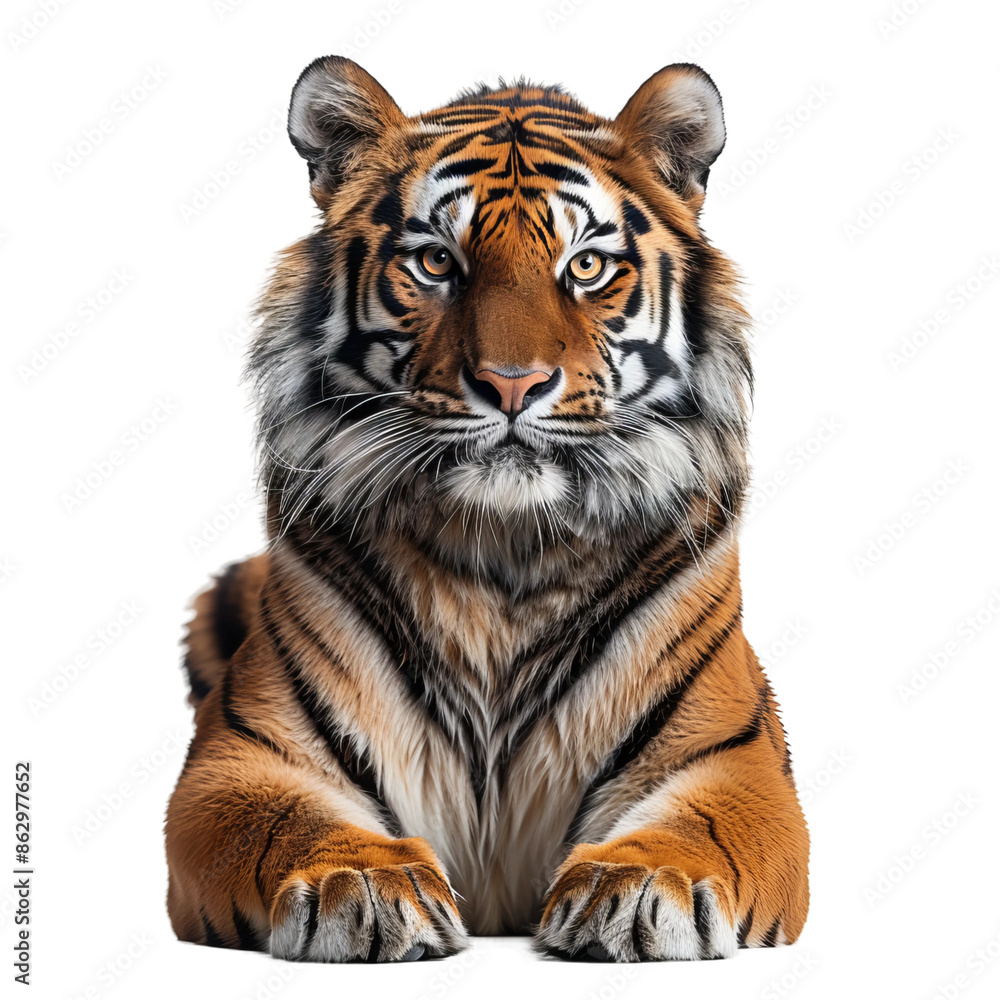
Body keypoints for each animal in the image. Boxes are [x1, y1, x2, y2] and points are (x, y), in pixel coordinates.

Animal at [165, 56, 809, 963]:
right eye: (438, 262)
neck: (504, 547)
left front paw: (641, 882)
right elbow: (284, 819)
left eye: (586, 266)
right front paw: (360, 881)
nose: (512, 384)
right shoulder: (242, 757)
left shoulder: (734, 756)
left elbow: (703, 825)